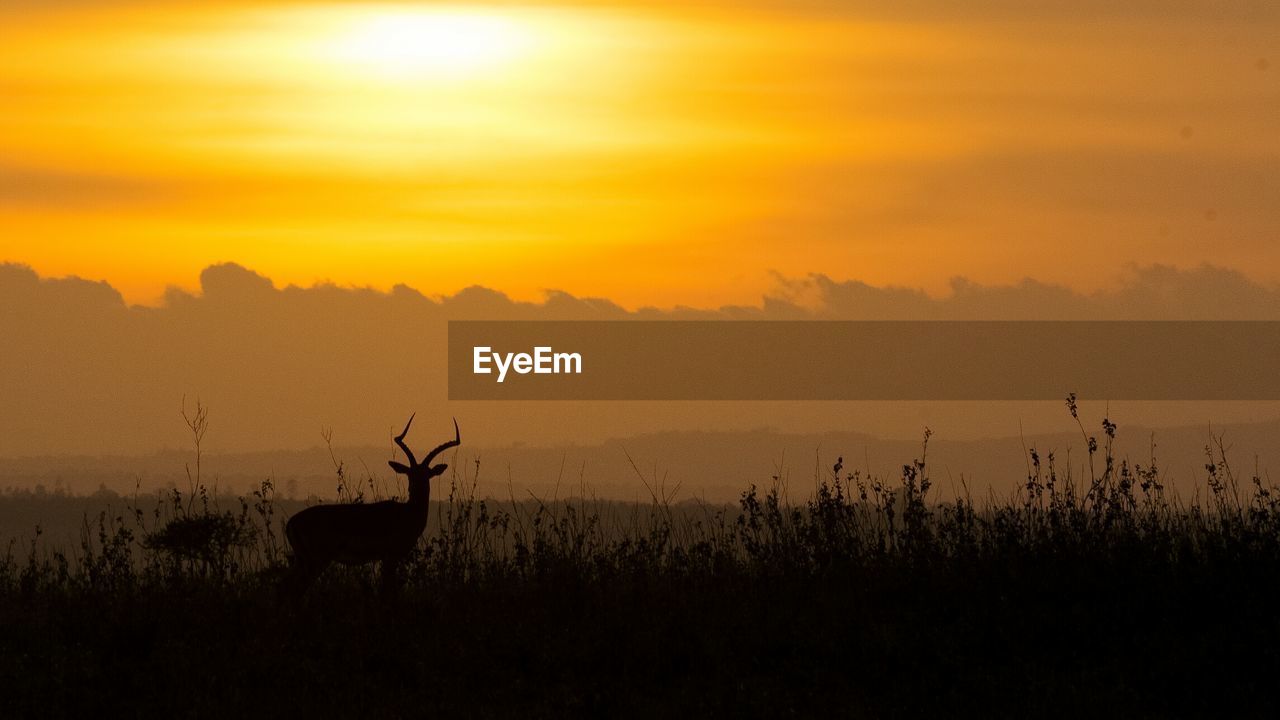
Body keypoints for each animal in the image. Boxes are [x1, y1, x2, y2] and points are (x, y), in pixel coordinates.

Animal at [285, 412, 460, 597]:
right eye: (410, 473)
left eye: (427, 474)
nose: (415, 488)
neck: (407, 513)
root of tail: (292, 522)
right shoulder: (390, 557)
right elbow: (388, 591)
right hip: (316, 560)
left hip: (303, 560)